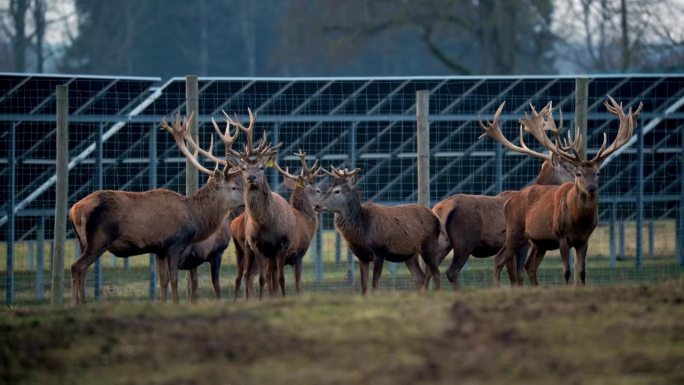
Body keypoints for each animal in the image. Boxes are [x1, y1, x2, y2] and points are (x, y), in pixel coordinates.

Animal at [68, 111, 244, 304]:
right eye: (234, 187)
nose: (248, 199)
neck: (193, 216)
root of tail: (74, 210)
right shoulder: (174, 243)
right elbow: (174, 279)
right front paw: (175, 303)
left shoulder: (158, 249)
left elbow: (163, 280)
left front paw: (163, 303)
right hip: (99, 239)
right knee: (77, 267)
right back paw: (77, 304)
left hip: (83, 241)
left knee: (82, 269)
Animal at [232, 150, 324, 300]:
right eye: (318, 190)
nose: (320, 206)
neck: (305, 221)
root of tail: (234, 223)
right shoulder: (298, 253)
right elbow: (297, 284)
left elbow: (273, 280)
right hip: (251, 250)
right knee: (248, 275)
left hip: (241, 251)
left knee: (241, 275)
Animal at [312, 166, 440, 294]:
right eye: (328, 189)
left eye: (337, 191)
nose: (316, 205)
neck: (363, 230)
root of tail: (436, 217)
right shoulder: (361, 256)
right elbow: (364, 286)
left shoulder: (379, 251)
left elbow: (375, 285)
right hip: (409, 255)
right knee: (420, 277)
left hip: (429, 245)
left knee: (436, 273)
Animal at [480, 96, 640, 284]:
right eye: (572, 170)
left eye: (598, 173)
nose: (591, 188)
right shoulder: (556, 238)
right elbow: (563, 271)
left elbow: (580, 272)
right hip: (517, 236)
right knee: (504, 262)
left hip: (535, 242)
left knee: (525, 266)